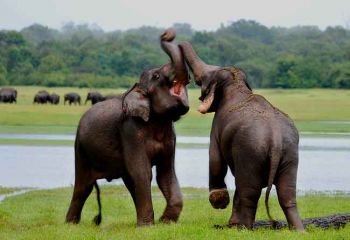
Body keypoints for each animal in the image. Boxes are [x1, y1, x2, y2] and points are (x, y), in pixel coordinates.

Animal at [65, 30, 190, 227]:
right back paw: (70, 225)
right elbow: (142, 171)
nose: (166, 33)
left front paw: (164, 222)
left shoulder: (171, 135)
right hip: (80, 148)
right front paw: (147, 227)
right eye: (156, 76)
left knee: (128, 181)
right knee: (83, 186)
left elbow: (166, 173)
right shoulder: (130, 130)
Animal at [179, 42, 304, 232]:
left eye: (202, 79)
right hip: (290, 153)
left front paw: (219, 202)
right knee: (286, 193)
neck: (236, 83)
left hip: (250, 151)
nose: (167, 36)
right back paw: (298, 231)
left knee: (249, 190)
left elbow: (215, 159)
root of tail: (275, 138)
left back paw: (243, 228)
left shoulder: (217, 126)